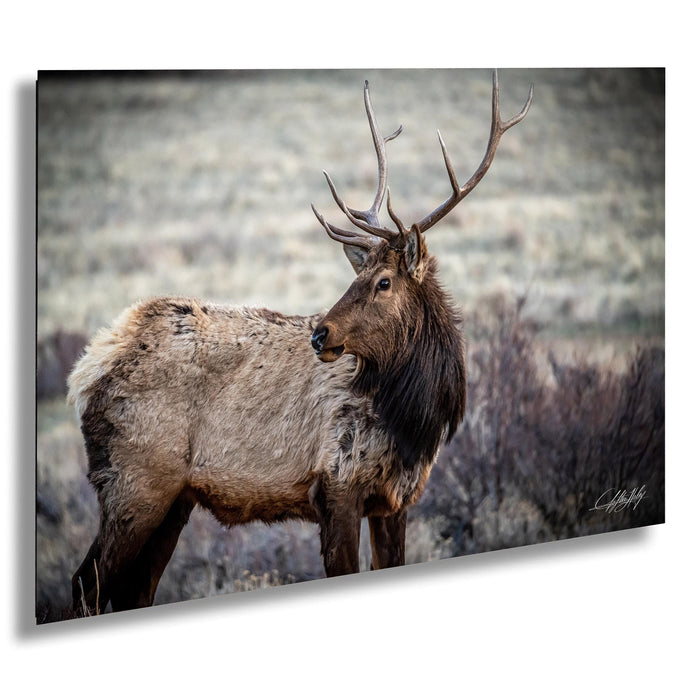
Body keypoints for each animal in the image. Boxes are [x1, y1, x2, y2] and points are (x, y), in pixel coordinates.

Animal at [67, 70, 532, 614]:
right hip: (134, 481)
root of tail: (88, 368)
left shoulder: (394, 501)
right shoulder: (336, 485)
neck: (413, 421)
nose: (320, 332)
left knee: (134, 590)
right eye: (360, 276)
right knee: (86, 582)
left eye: (383, 282)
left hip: (173, 499)